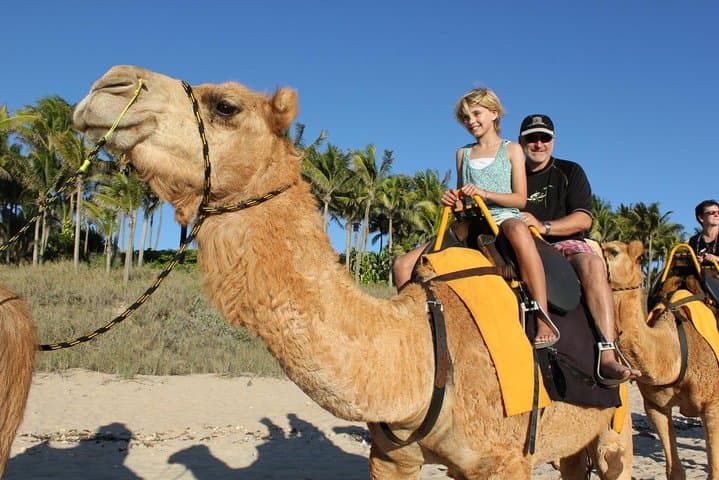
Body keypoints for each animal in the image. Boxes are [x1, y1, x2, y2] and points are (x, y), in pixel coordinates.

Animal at [73, 65, 631, 479]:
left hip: (615, 425)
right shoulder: (391, 459)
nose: (108, 85)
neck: (423, 351)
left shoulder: (504, 461)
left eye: (226, 106)